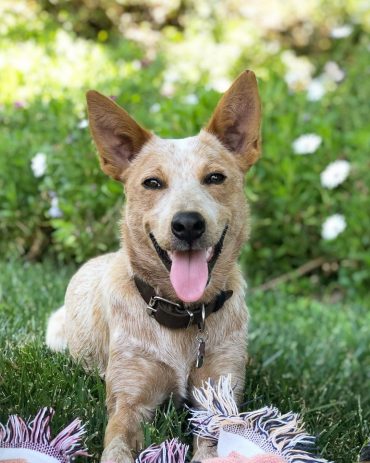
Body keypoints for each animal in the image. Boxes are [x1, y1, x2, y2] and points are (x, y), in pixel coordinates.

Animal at [45, 70, 260, 463]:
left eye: (215, 177)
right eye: (153, 182)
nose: (187, 223)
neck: (185, 317)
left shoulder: (218, 396)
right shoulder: (129, 401)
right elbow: (116, 447)